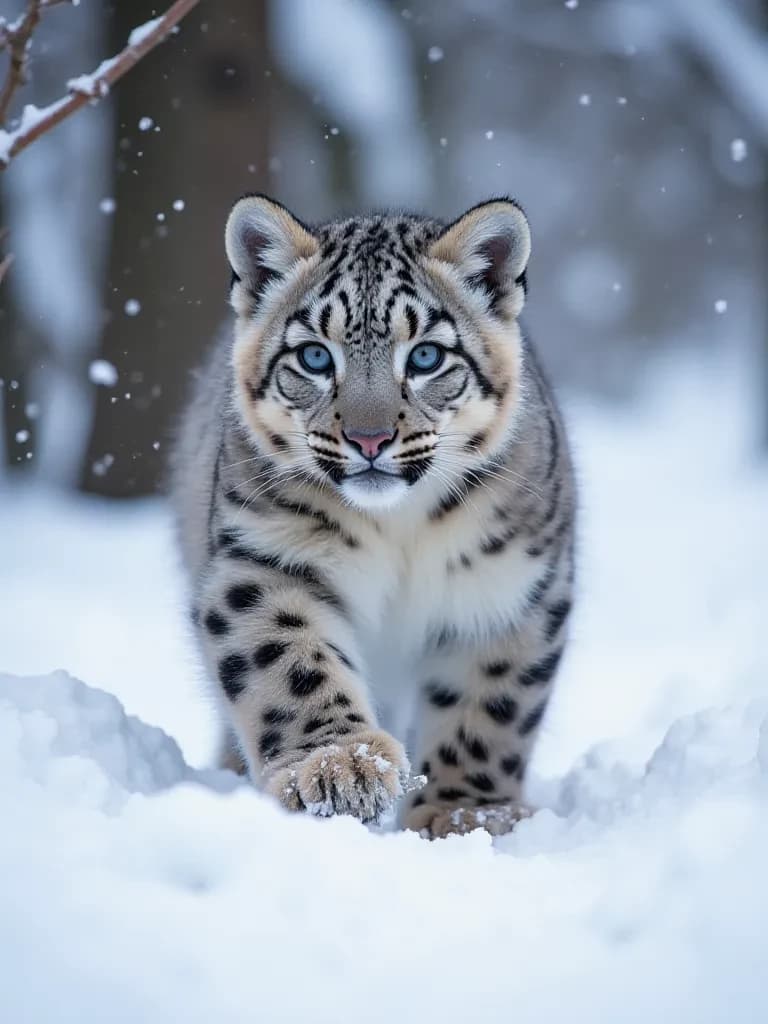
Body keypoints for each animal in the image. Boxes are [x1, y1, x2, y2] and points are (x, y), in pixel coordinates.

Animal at [170, 193, 575, 839]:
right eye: (314, 355)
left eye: (427, 355)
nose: (369, 438)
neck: (400, 530)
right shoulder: (263, 559)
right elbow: (290, 662)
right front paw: (339, 768)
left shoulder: (509, 585)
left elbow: (489, 703)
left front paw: (468, 811)